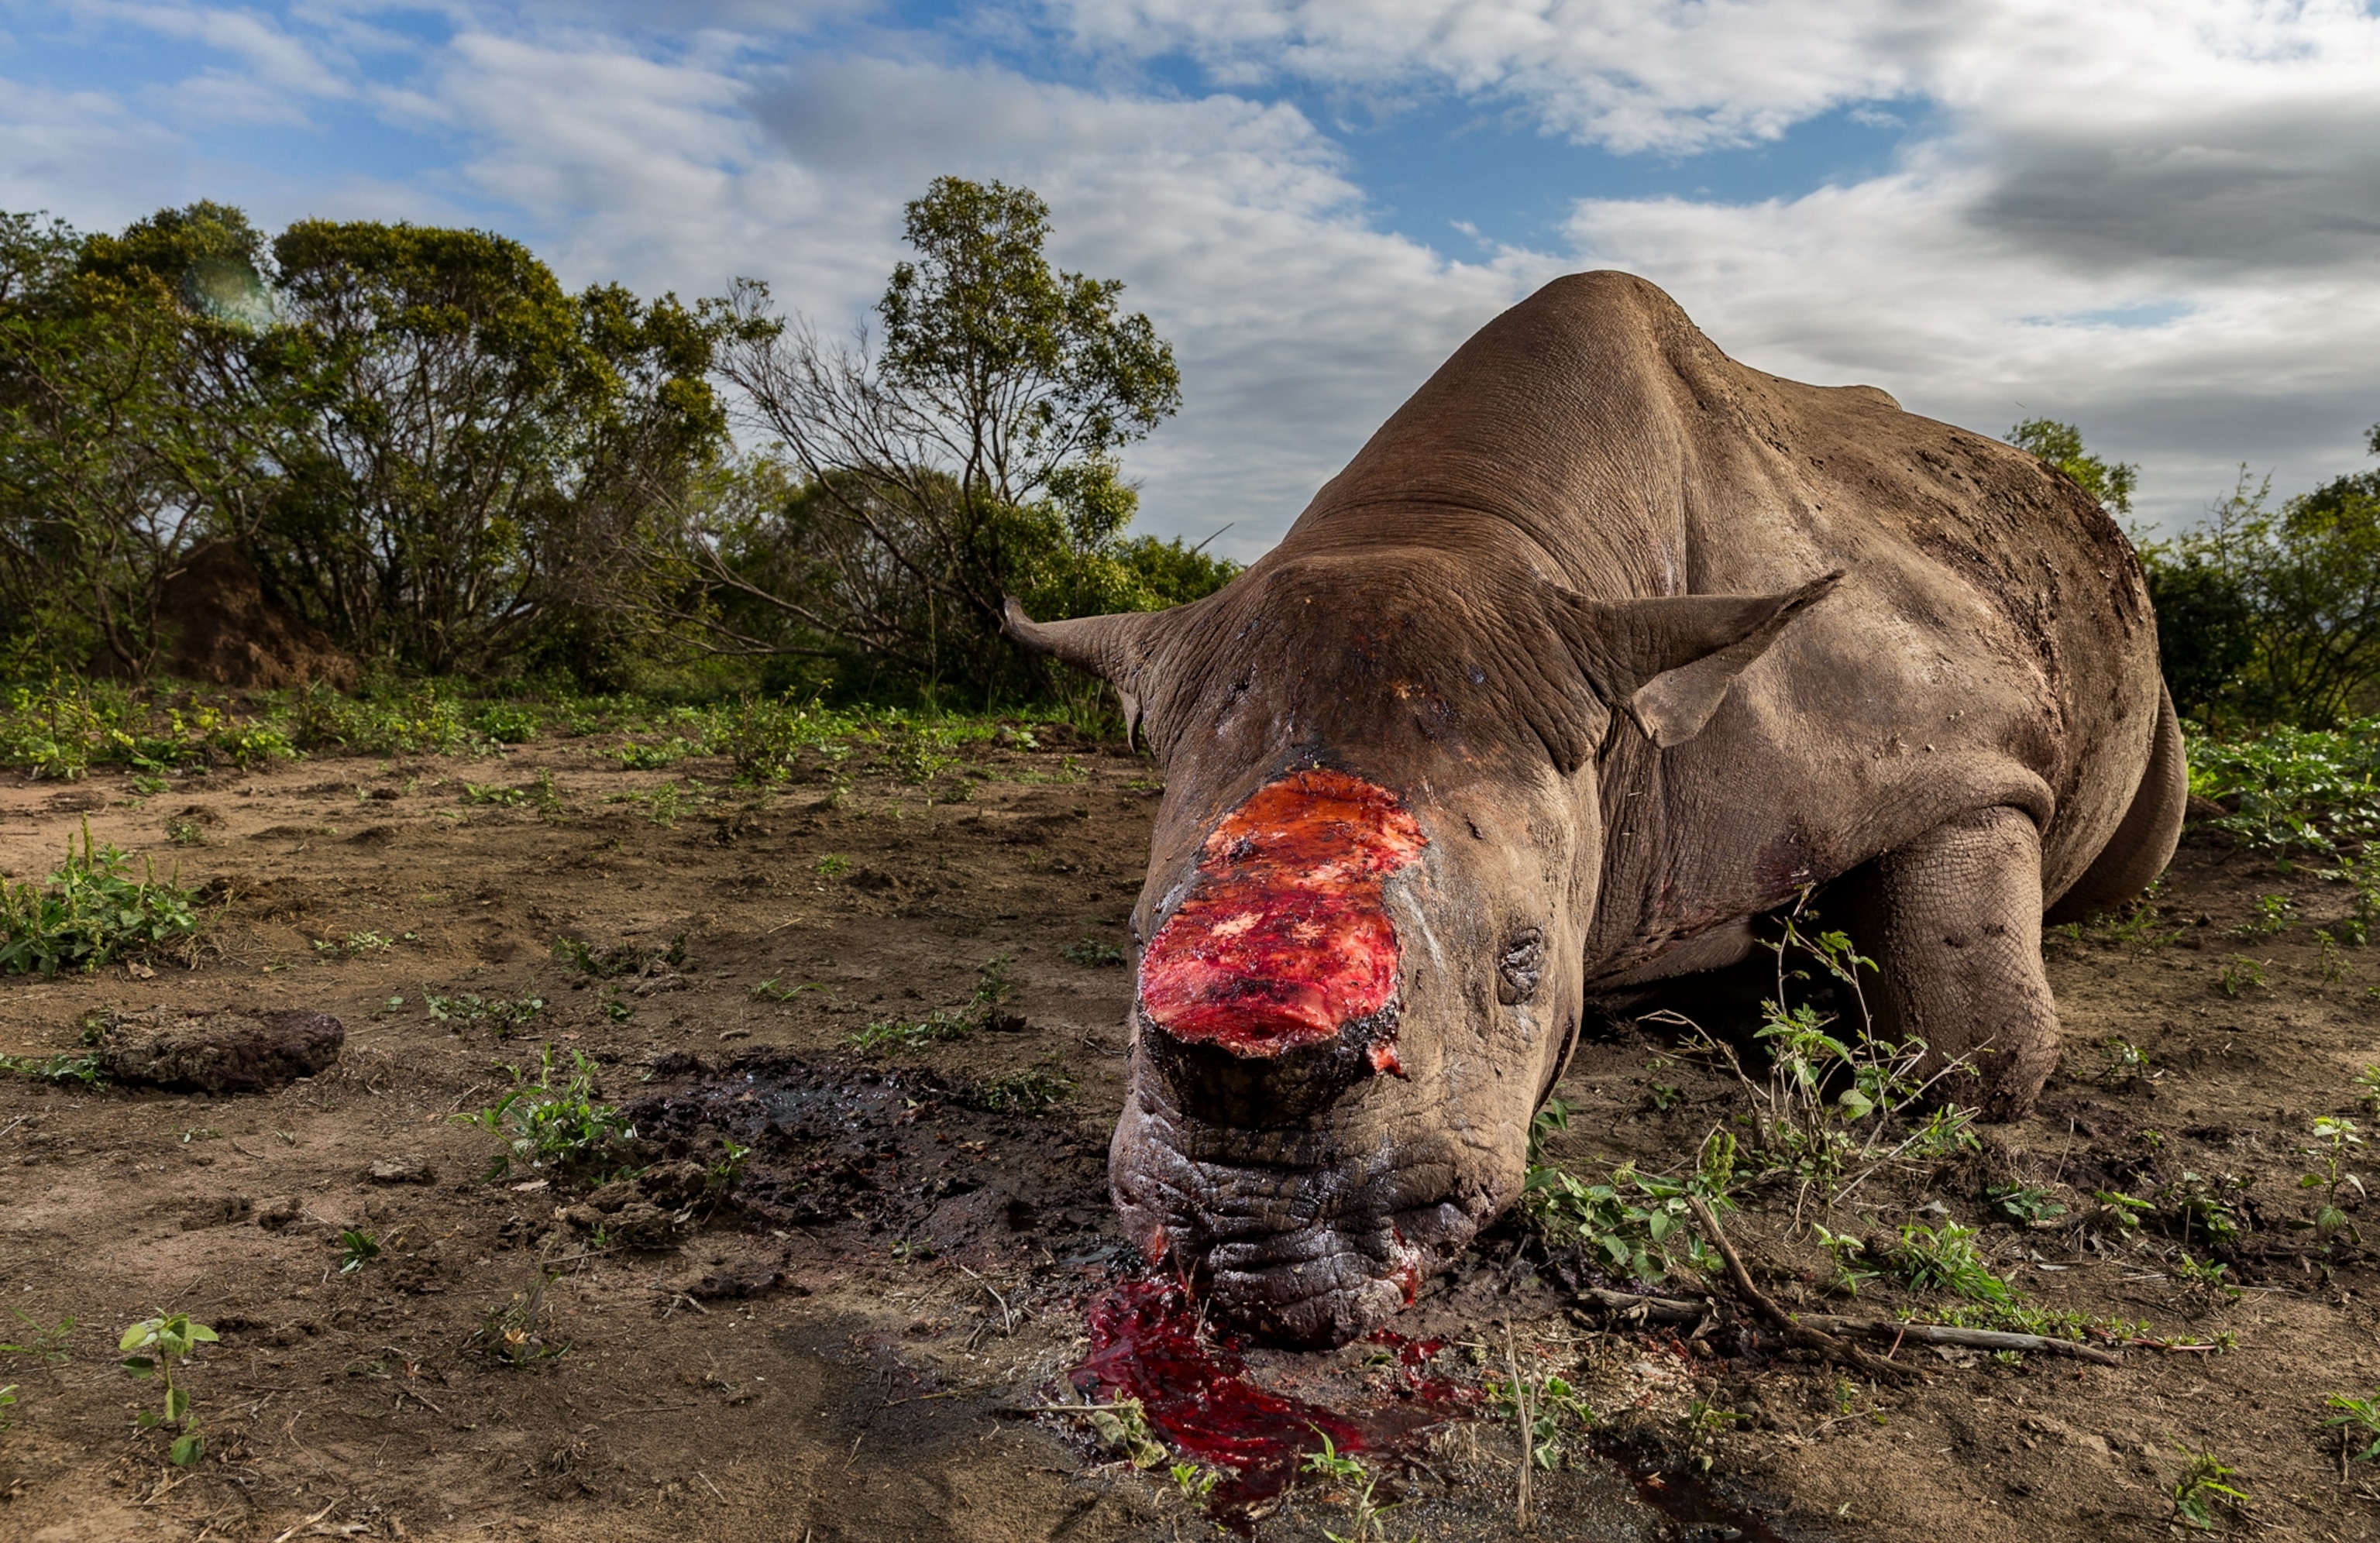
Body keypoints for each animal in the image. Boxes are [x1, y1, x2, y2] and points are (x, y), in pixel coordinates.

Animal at [1003, 271, 2184, 1347]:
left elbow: (1981, 1049)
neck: (1469, 527)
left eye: (1524, 962)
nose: (1252, 1254)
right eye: (1132, 938)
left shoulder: (1967, 742)